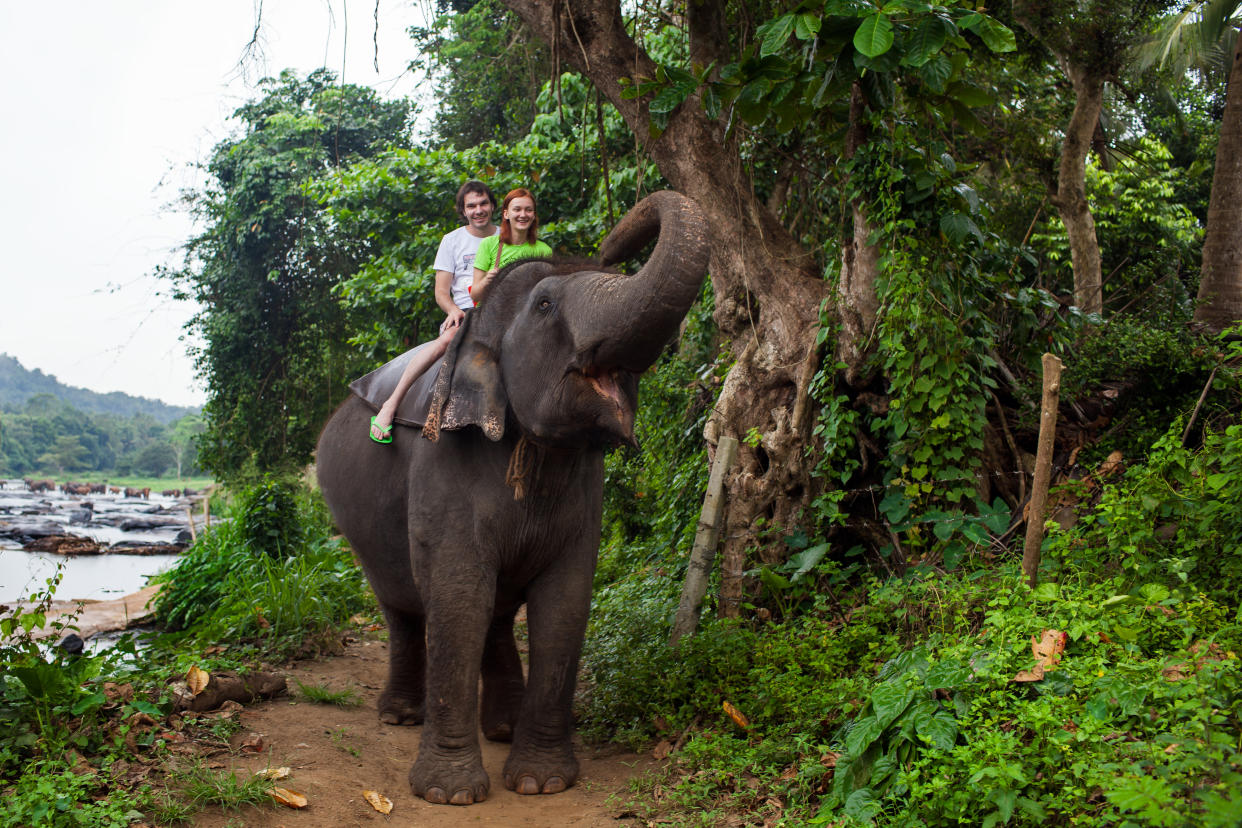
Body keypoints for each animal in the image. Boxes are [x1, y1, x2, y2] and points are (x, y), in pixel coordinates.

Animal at [315, 191, 710, 804]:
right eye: (545, 305)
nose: (613, 242)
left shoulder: (585, 488)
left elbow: (564, 602)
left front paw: (540, 783)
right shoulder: (442, 464)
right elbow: (459, 596)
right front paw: (450, 794)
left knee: (496, 612)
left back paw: (500, 727)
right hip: (352, 515)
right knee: (401, 607)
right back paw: (400, 716)